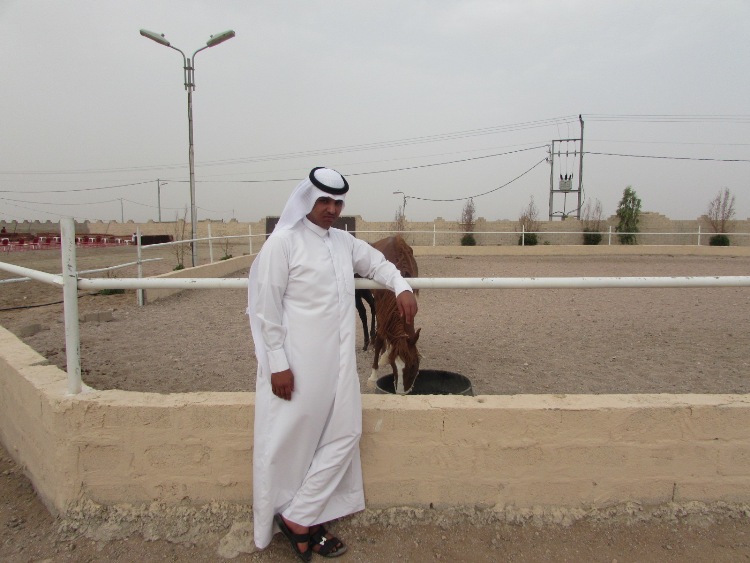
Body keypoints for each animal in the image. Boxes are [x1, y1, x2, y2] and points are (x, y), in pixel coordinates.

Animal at [367, 235, 421, 394]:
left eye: (413, 364)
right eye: (393, 365)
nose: (401, 393)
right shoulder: (381, 305)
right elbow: (380, 336)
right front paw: (373, 376)